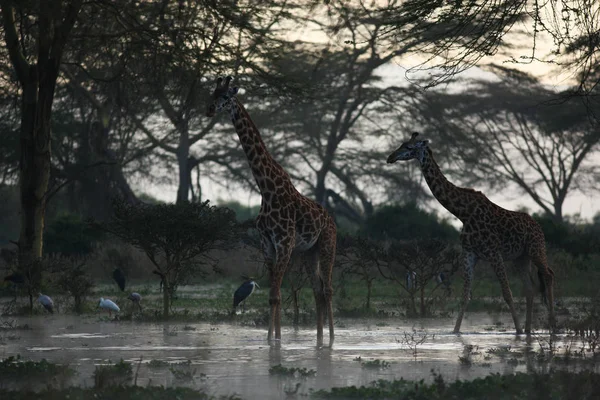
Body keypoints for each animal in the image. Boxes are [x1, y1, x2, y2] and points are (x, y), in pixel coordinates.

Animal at [206, 76, 338, 344]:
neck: (266, 190)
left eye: (225, 97)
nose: (209, 110)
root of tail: (332, 221)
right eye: (211, 94)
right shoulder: (267, 244)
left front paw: (273, 340)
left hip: (328, 245)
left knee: (328, 290)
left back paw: (331, 338)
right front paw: (273, 339)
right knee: (318, 290)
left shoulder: (285, 243)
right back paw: (319, 338)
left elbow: (276, 295)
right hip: (309, 253)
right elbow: (273, 295)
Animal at [386, 132, 556, 334]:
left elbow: (507, 293)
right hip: (521, 258)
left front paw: (518, 331)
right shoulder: (469, 253)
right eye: (402, 144)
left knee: (548, 275)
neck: (462, 212)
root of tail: (538, 226)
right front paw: (455, 332)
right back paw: (529, 330)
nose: (390, 157)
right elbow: (465, 296)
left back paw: (552, 327)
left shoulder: (493, 253)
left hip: (535, 249)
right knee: (530, 288)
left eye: (410, 147)